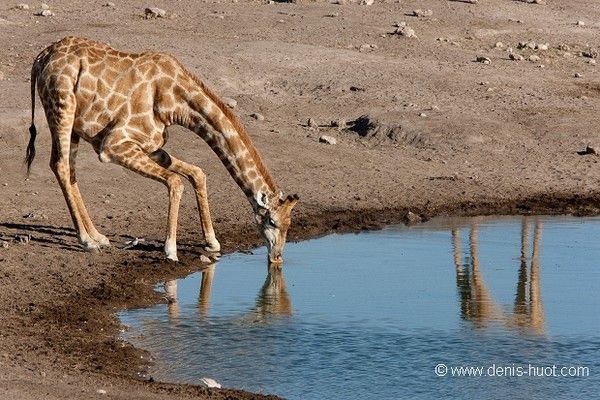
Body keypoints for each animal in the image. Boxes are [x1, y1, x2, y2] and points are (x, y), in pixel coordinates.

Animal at [27, 36, 298, 264]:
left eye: (289, 224)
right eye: (272, 221)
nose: (277, 257)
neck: (176, 102)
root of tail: (40, 58)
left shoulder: (152, 146)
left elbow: (197, 173)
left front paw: (211, 242)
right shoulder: (114, 145)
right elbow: (176, 182)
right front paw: (170, 250)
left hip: (74, 124)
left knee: (69, 169)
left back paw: (98, 236)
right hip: (61, 108)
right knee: (60, 165)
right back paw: (86, 241)